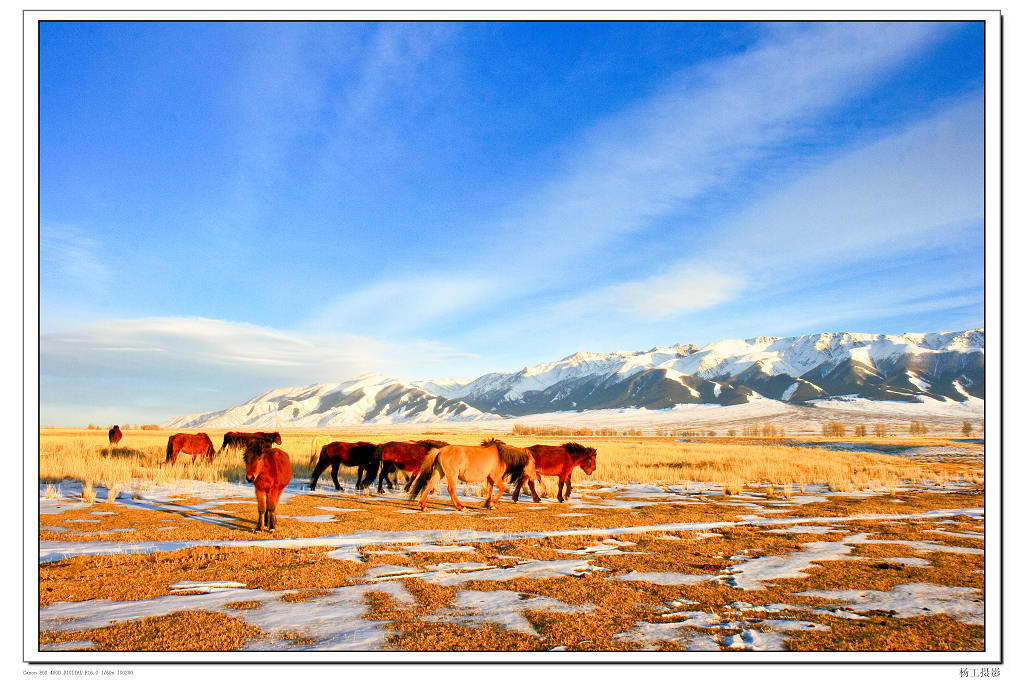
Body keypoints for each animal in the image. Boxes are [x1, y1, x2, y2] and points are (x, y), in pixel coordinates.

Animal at [405, 438, 540, 511]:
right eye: (533, 462)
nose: (536, 477)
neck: (501, 456)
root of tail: (440, 450)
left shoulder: (490, 478)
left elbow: (490, 491)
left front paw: (488, 504)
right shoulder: (496, 477)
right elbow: (502, 488)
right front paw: (492, 504)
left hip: (439, 472)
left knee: (429, 486)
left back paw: (423, 506)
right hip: (452, 474)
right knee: (451, 489)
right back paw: (460, 507)